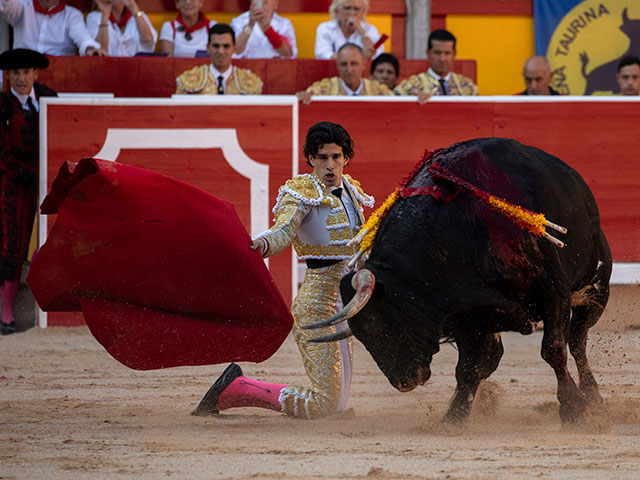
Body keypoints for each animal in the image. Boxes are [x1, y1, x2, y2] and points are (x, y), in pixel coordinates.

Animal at [324, 137, 608, 422]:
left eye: (375, 322)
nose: (403, 382)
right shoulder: (467, 316)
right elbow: (469, 369)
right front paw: (454, 418)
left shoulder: (552, 289)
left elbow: (553, 348)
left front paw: (575, 410)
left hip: (596, 290)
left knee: (577, 341)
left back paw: (593, 397)